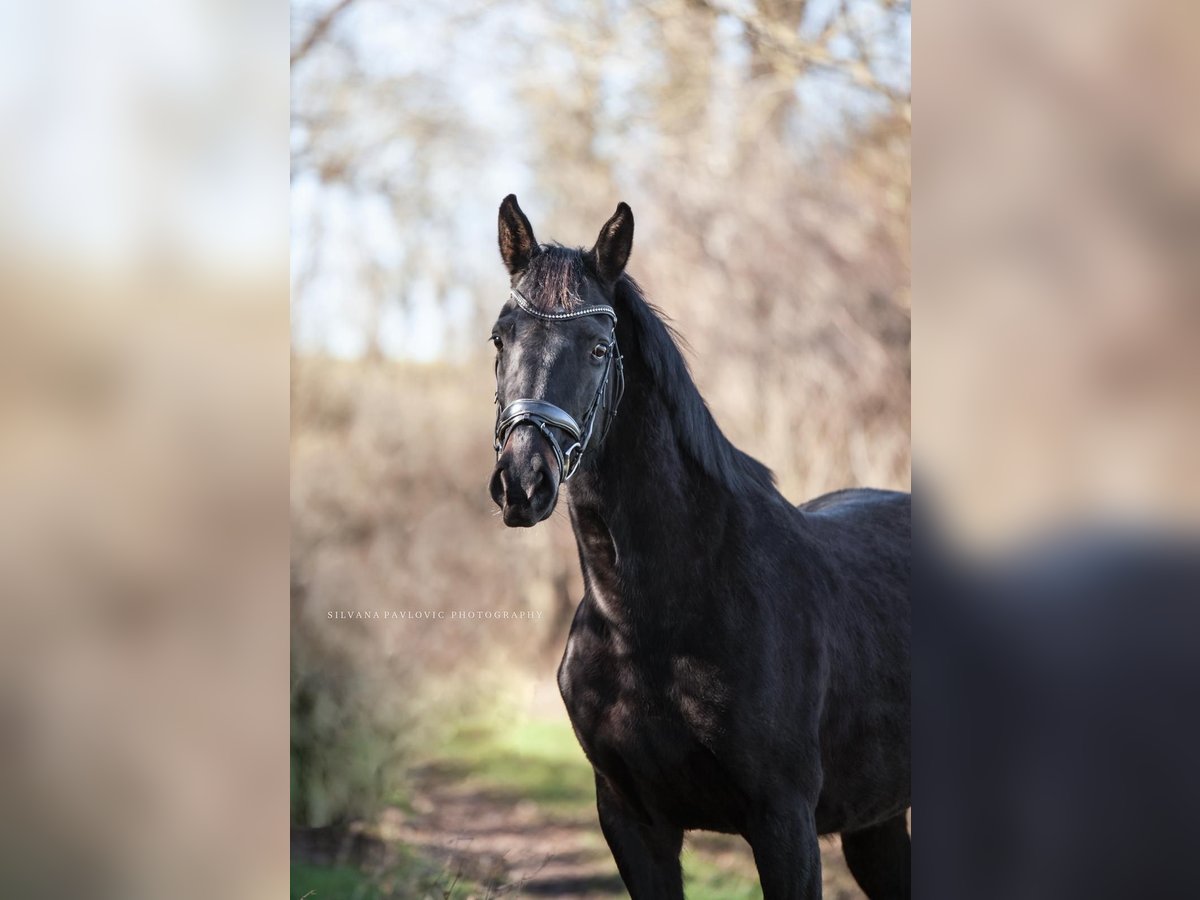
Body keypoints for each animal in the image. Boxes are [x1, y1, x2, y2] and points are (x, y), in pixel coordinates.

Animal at [487, 196, 907, 900]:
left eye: (598, 348)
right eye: (500, 338)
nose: (524, 482)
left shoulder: (785, 823)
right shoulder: (633, 821)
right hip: (876, 823)